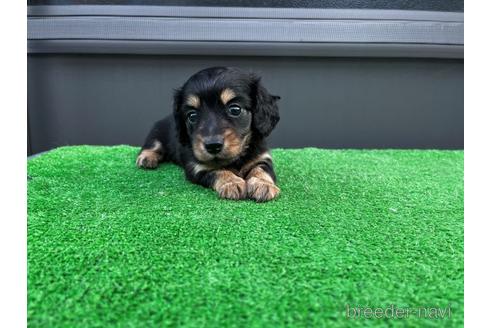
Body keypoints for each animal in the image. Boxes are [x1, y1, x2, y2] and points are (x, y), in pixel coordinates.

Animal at [136, 66, 280, 202]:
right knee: (151, 146)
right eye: (192, 116)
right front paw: (232, 183)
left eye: (235, 109)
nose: (213, 146)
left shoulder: (263, 158)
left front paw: (263, 185)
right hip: (156, 133)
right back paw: (147, 158)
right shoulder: (197, 168)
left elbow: (261, 170)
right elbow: (218, 170)